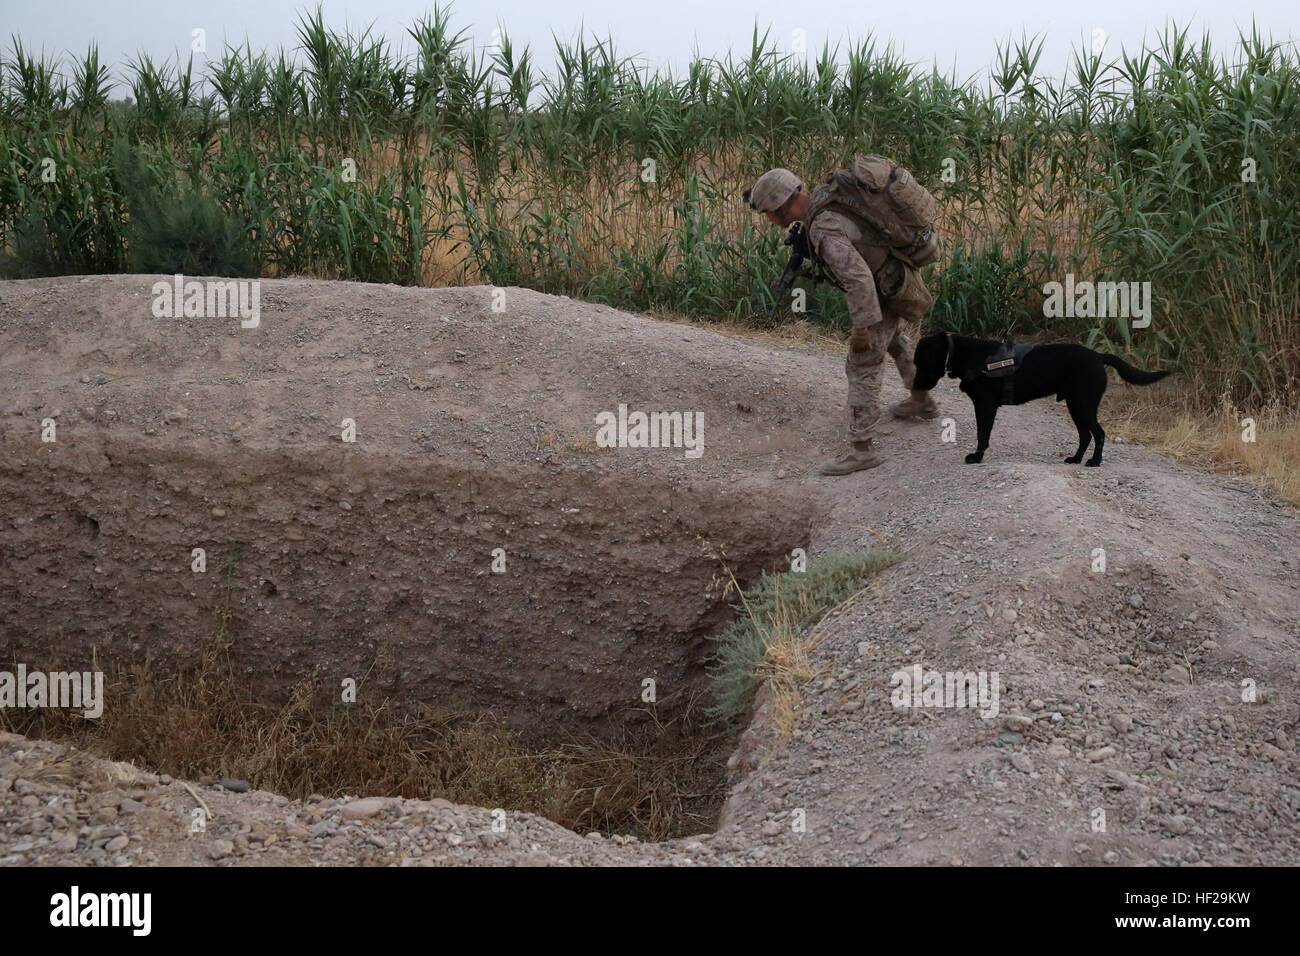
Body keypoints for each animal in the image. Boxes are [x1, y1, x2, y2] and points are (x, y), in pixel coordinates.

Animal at [909, 335, 1175, 468]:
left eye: (921, 361)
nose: (915, 386)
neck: (969, 355)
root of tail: (1099, 356)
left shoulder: (985, 406)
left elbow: (982, 434)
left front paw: (977, 456)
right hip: (1075, 405)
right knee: (1086, 435)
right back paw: (1075, 459)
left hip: (1083, 404)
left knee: (1098, 433)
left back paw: (1094, 461)